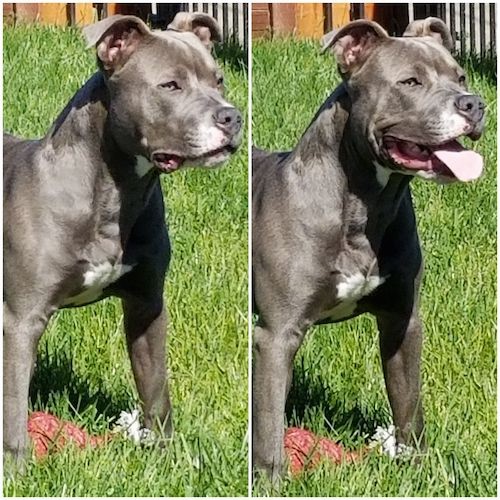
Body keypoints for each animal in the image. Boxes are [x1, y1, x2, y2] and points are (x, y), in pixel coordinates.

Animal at [3, 11, 242, 464]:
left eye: (218, 80)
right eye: (170, 85)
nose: (231, 117)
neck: (114, 194)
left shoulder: (146, 305)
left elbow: (156, 389)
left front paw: (166, 457)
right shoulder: (21, 319)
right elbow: (12, 403)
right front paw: (16, 467)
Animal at [254, 18, 484, 480]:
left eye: (461, 77)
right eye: (410, 82)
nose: (474, 105)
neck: (364, 209)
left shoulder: (402, 322)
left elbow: (408, 404)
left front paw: (418, 468)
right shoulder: (275, 335)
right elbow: (269, 421)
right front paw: (270, 481)